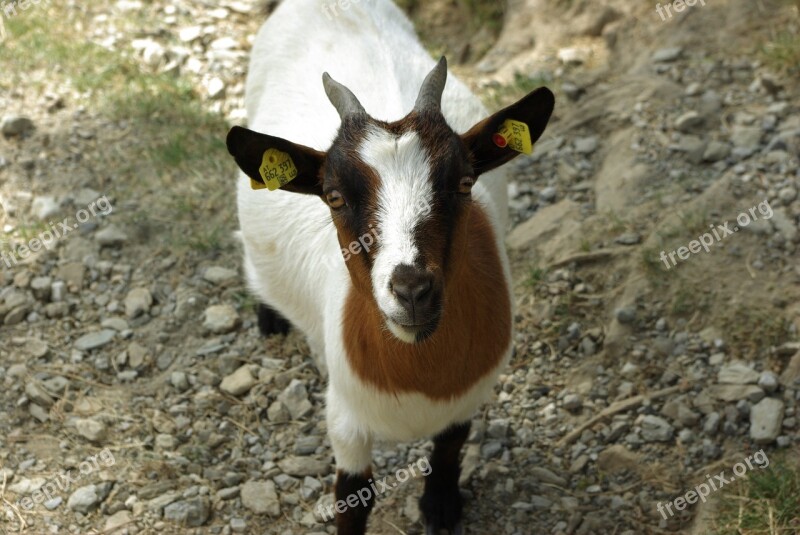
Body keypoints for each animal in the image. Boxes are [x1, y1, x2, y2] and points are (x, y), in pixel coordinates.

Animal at [223, 0, 552, 532]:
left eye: (464, 181)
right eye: (333, 196)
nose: (412, 288)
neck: (418, 376)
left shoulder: (470, 394)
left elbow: (450, 447)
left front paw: (440, 506)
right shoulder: (345, 418)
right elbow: (355, 496)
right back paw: (269, 317)